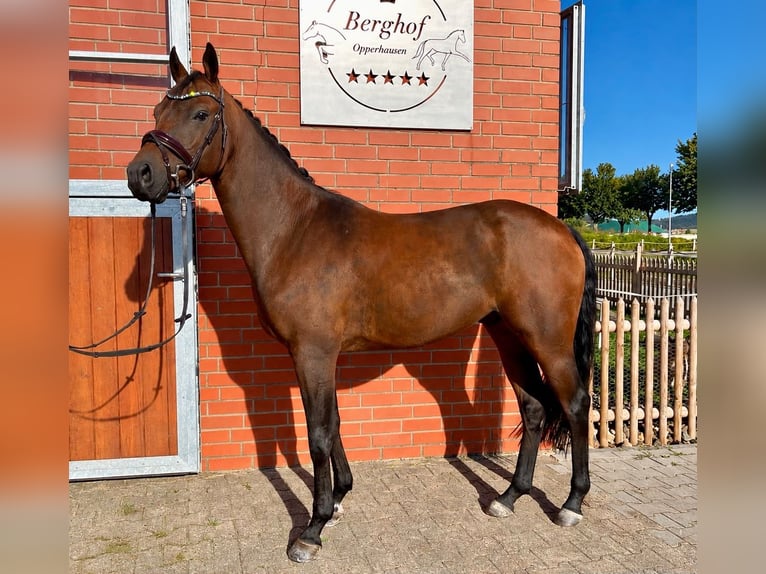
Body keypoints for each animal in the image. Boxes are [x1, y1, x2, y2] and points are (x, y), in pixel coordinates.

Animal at [127, 43, 596, 564]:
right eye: (158, 111)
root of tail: (561, 229)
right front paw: (339, 499)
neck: (294, 230)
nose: (140, 174)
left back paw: (571, 504)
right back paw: (509, 497)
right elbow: (332, 424)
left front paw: (311, 529)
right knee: (533, 408)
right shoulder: (319, 356)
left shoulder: (312, 353)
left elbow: (317, 435)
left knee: (575, 403)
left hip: (547, 341)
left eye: (201, 113)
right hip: (507, 333)